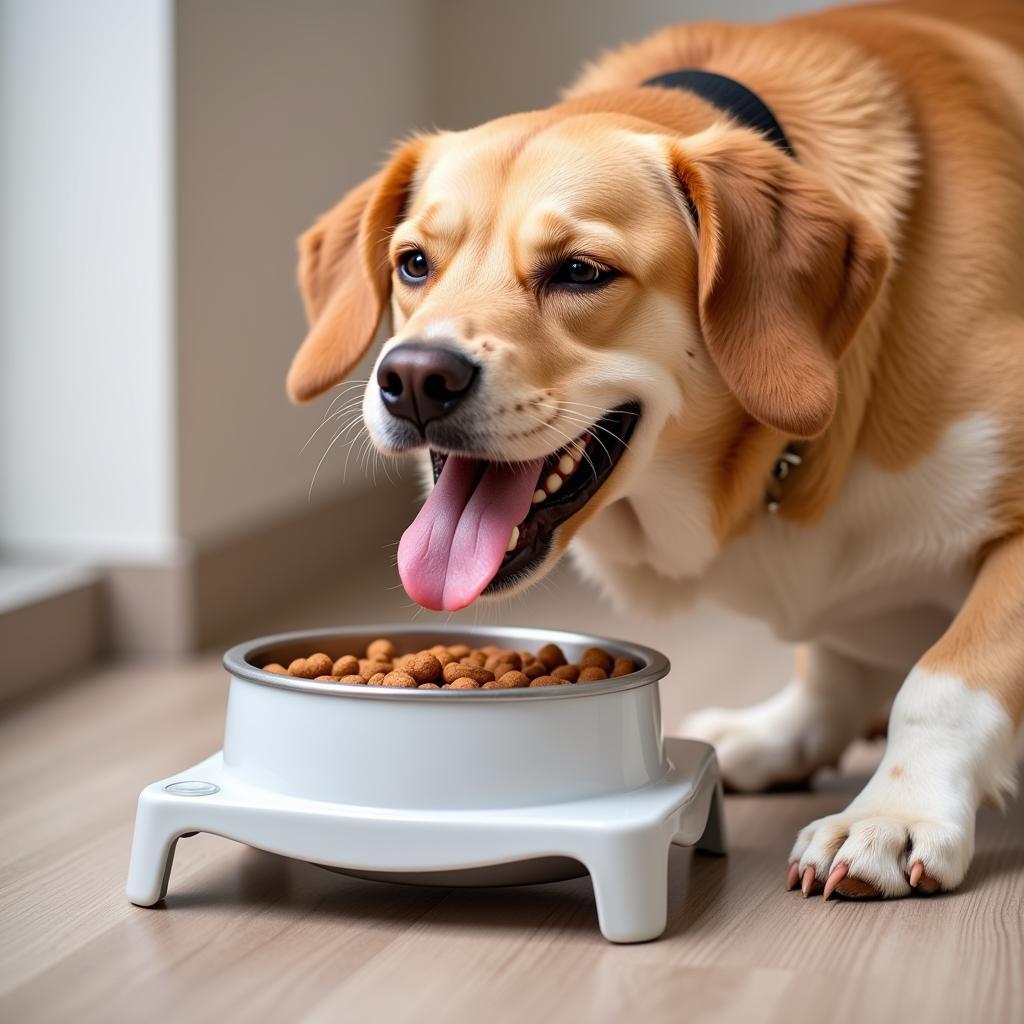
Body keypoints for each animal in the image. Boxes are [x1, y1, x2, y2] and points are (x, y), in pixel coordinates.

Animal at [286, 0, 1024, 897]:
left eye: (580, 271)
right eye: (414, 263)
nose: (416, 379)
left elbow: (946, 680)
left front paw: (892, 813)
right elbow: (835, 659)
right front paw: (792, 735)